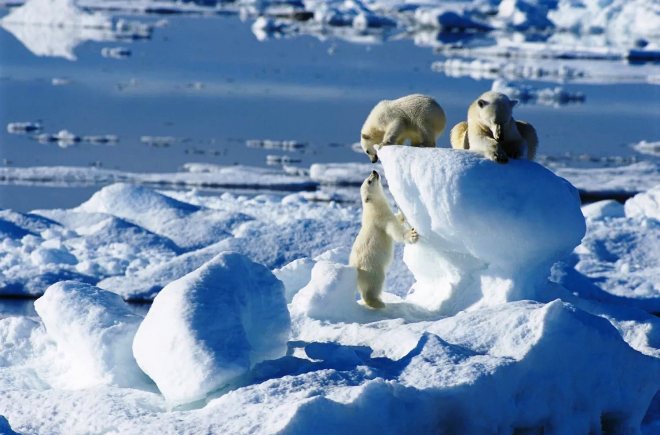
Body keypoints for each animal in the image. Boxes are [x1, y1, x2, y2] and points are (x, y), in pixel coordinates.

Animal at [346, 170, 418, 310]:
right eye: (369, 181)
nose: (374, 171)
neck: (373, 209)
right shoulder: (382, 221)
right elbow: (395, 231)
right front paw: (412, 235)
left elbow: (397, 218)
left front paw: (401, 212)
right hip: (372, 268)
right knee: (374, 284)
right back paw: (378, 303)